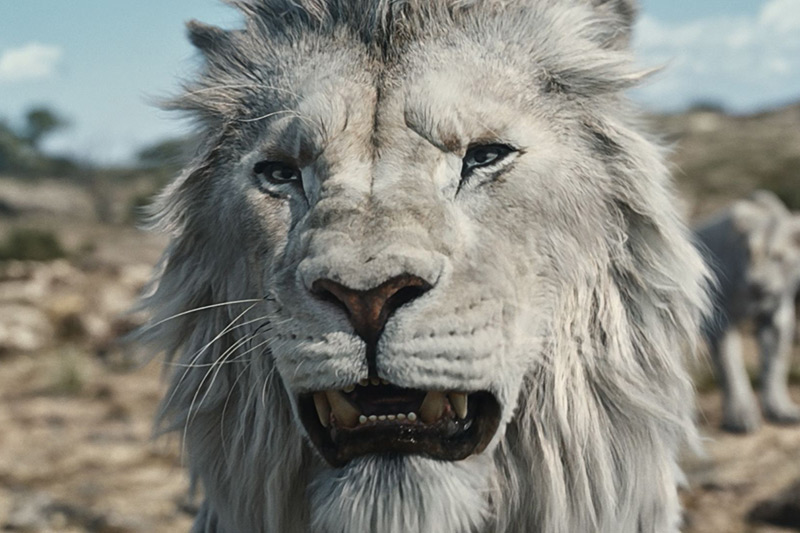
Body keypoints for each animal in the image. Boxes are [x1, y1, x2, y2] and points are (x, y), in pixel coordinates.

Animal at [694, 191, 800, 433]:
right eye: (749, 254)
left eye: (778, 257)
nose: (756, 283)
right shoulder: (720, 321)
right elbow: (730, 368)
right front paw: (740, 418)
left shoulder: (777, 317)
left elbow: (774, 366)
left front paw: (779, 410)